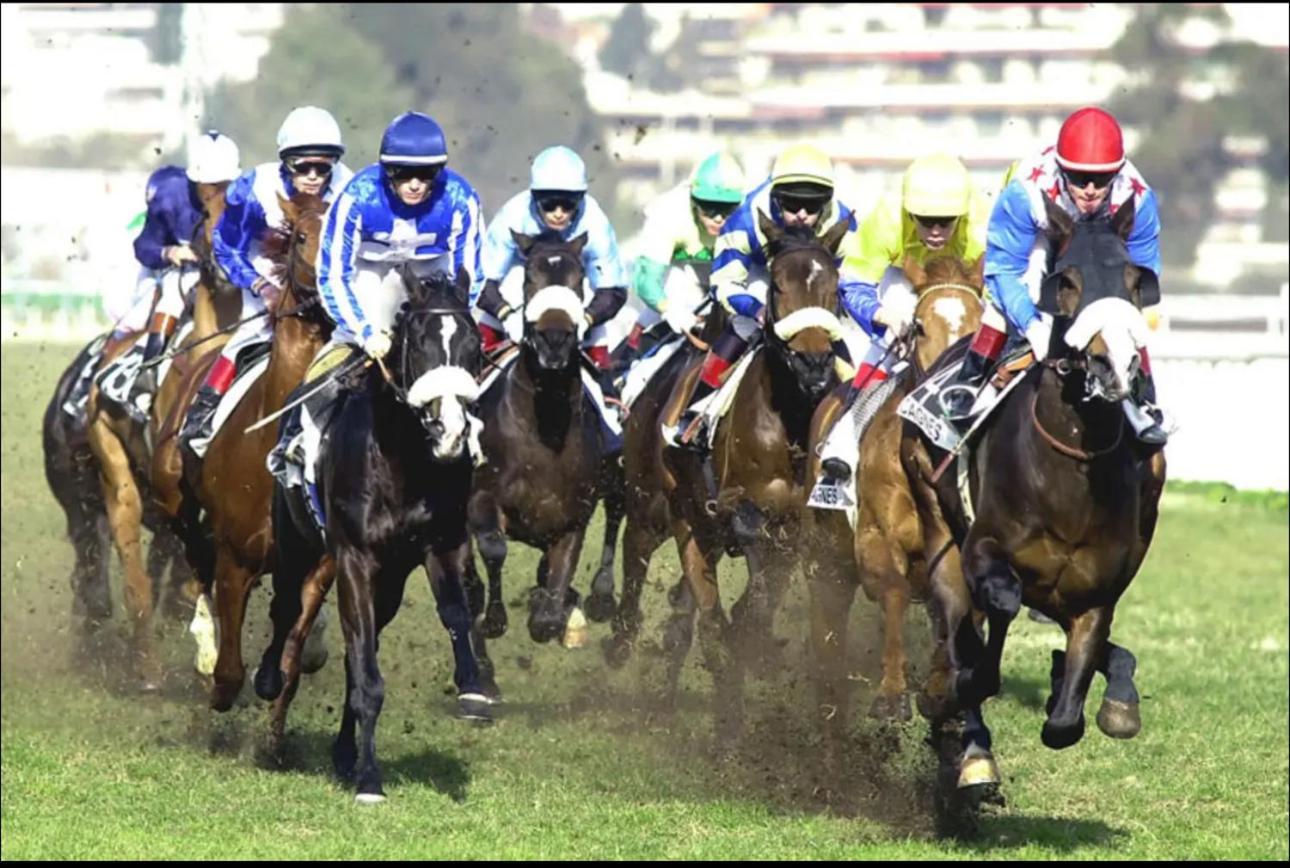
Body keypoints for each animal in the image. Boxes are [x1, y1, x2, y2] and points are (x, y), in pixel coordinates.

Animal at [261, 260, 487, 804]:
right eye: (420, 344)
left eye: (474, 345)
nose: (451, 432)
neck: (403, 461)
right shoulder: (354, 559)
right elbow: (365, 671)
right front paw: (369, 781)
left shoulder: (439, 545)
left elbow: (455, 612)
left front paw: (473, 688)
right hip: (295, 542)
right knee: (286, 607)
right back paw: (267, 678)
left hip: (390, 581)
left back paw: (344, 752)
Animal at [799, 252, 980, 737]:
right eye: (918, 326)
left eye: (980, 326)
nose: (952, 398)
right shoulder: (875, 541)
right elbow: (895, 592)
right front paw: (891, 694)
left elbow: (957, 611)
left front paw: (940, 692)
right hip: (825, 561)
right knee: (827, 630)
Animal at [908, 198, 1171, 794]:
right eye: (1066, 281)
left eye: (1133, 280)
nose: (1113, 365)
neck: (1070, 479)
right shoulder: (982, 548)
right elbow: (995, 614)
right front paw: (963, 685)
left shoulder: (1097, 593)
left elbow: (1065, 723)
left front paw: (1084, 691)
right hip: (937, 526)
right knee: (964, 614)